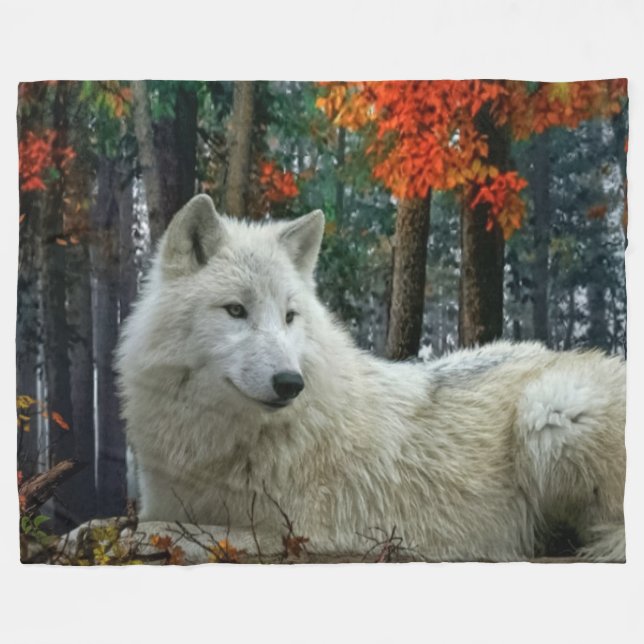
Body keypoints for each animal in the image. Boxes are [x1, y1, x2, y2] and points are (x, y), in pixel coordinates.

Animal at [116, 194, 626, 562]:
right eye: (236, 311)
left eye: (289, 316)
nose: (290, 383)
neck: (217, 441)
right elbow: (153, 521)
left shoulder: (295, 528)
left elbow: (171, 531)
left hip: (552, 409)